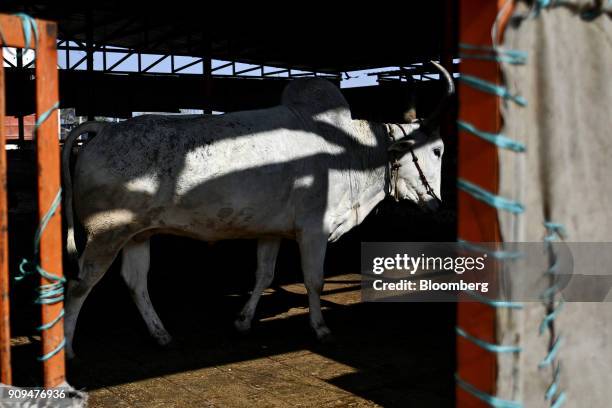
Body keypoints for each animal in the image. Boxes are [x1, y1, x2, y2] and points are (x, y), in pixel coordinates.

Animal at [63, 62, 454, 358]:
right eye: (436, 150)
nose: (437, 202)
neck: (351, 151)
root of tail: (103, 130)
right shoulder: (314, 230)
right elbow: (314, 280)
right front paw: (321, 329)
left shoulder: (271, 231)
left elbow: (263, 276)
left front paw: (242, 321)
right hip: (106, 234)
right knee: (80, 285)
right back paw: (67, 350)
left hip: (137, 234)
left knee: (135, 282)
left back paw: (162, 335)